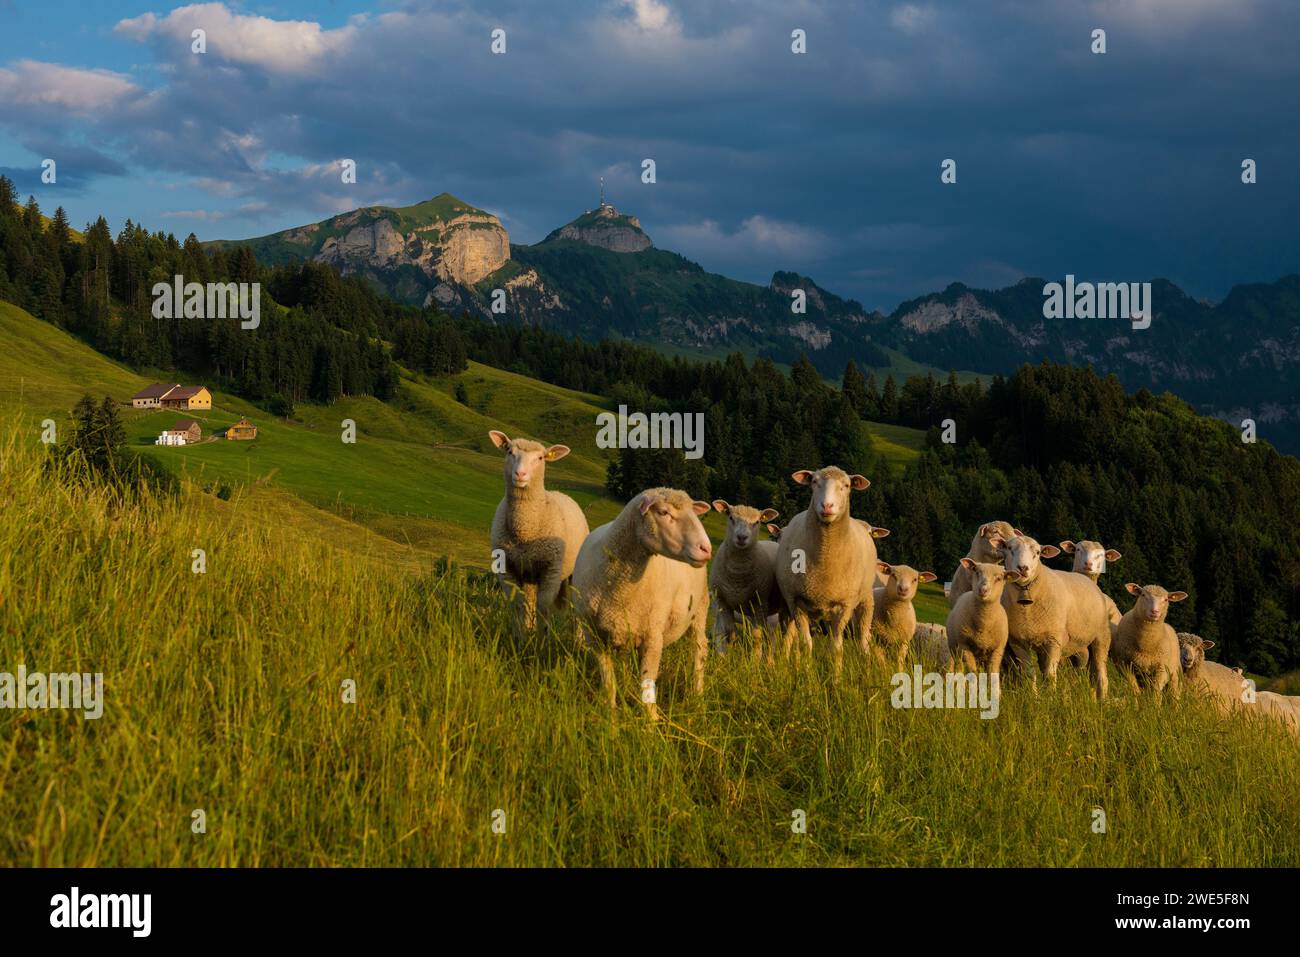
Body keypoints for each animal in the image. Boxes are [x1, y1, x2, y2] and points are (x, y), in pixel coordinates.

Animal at [488, 431, 590, 629]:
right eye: (509, 451)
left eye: (541, 458)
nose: (520, 474)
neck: (525, 531)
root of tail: (562, 494)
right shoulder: (508, 569)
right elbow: (518, 605)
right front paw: (521, 633)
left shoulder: (551, 570)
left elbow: (544, 607)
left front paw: (543, 635)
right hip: (529, 573)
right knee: (529, 601)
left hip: (573, 572)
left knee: (575, 609)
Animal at [569, 486, 712, 717]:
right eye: (663, 512)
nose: (706, 549)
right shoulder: (594, 636)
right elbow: (608, 679)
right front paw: (611, 713)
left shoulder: (653, 636)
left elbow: (647, 681)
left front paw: (651, 721)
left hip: (699, 610)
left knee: (698, 651)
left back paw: (697, 695)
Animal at [712, 501, 780, 657]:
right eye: (730, 517)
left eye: (757, 522)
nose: (741, 537)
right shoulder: (722, 601)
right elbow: (728, 631)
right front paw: (726, 657)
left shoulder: (759, 604)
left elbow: (757, 636)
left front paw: (754, 659)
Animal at [774, 468, 878, 676]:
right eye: (814, 482)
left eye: (846, 485)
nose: (827, 506)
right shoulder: (795, 601)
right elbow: (805, 644)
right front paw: (806, 675)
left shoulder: (845, 605)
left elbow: (836, 649)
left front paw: (836, 679)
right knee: (789, 637)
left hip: (864, 601)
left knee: (863, 640)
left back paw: (866, 668)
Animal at [998, 530, 1112, 696]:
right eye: (1009, 548)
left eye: (1038, 553)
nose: (1023, 568)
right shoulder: (1018, 642)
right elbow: (1029, 674)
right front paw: (1034, 697)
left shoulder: (1054, 640)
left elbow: (1050, 675)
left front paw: (1051, 697)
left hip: (1101, 637)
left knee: (1101, 675)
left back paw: (1103, 699)